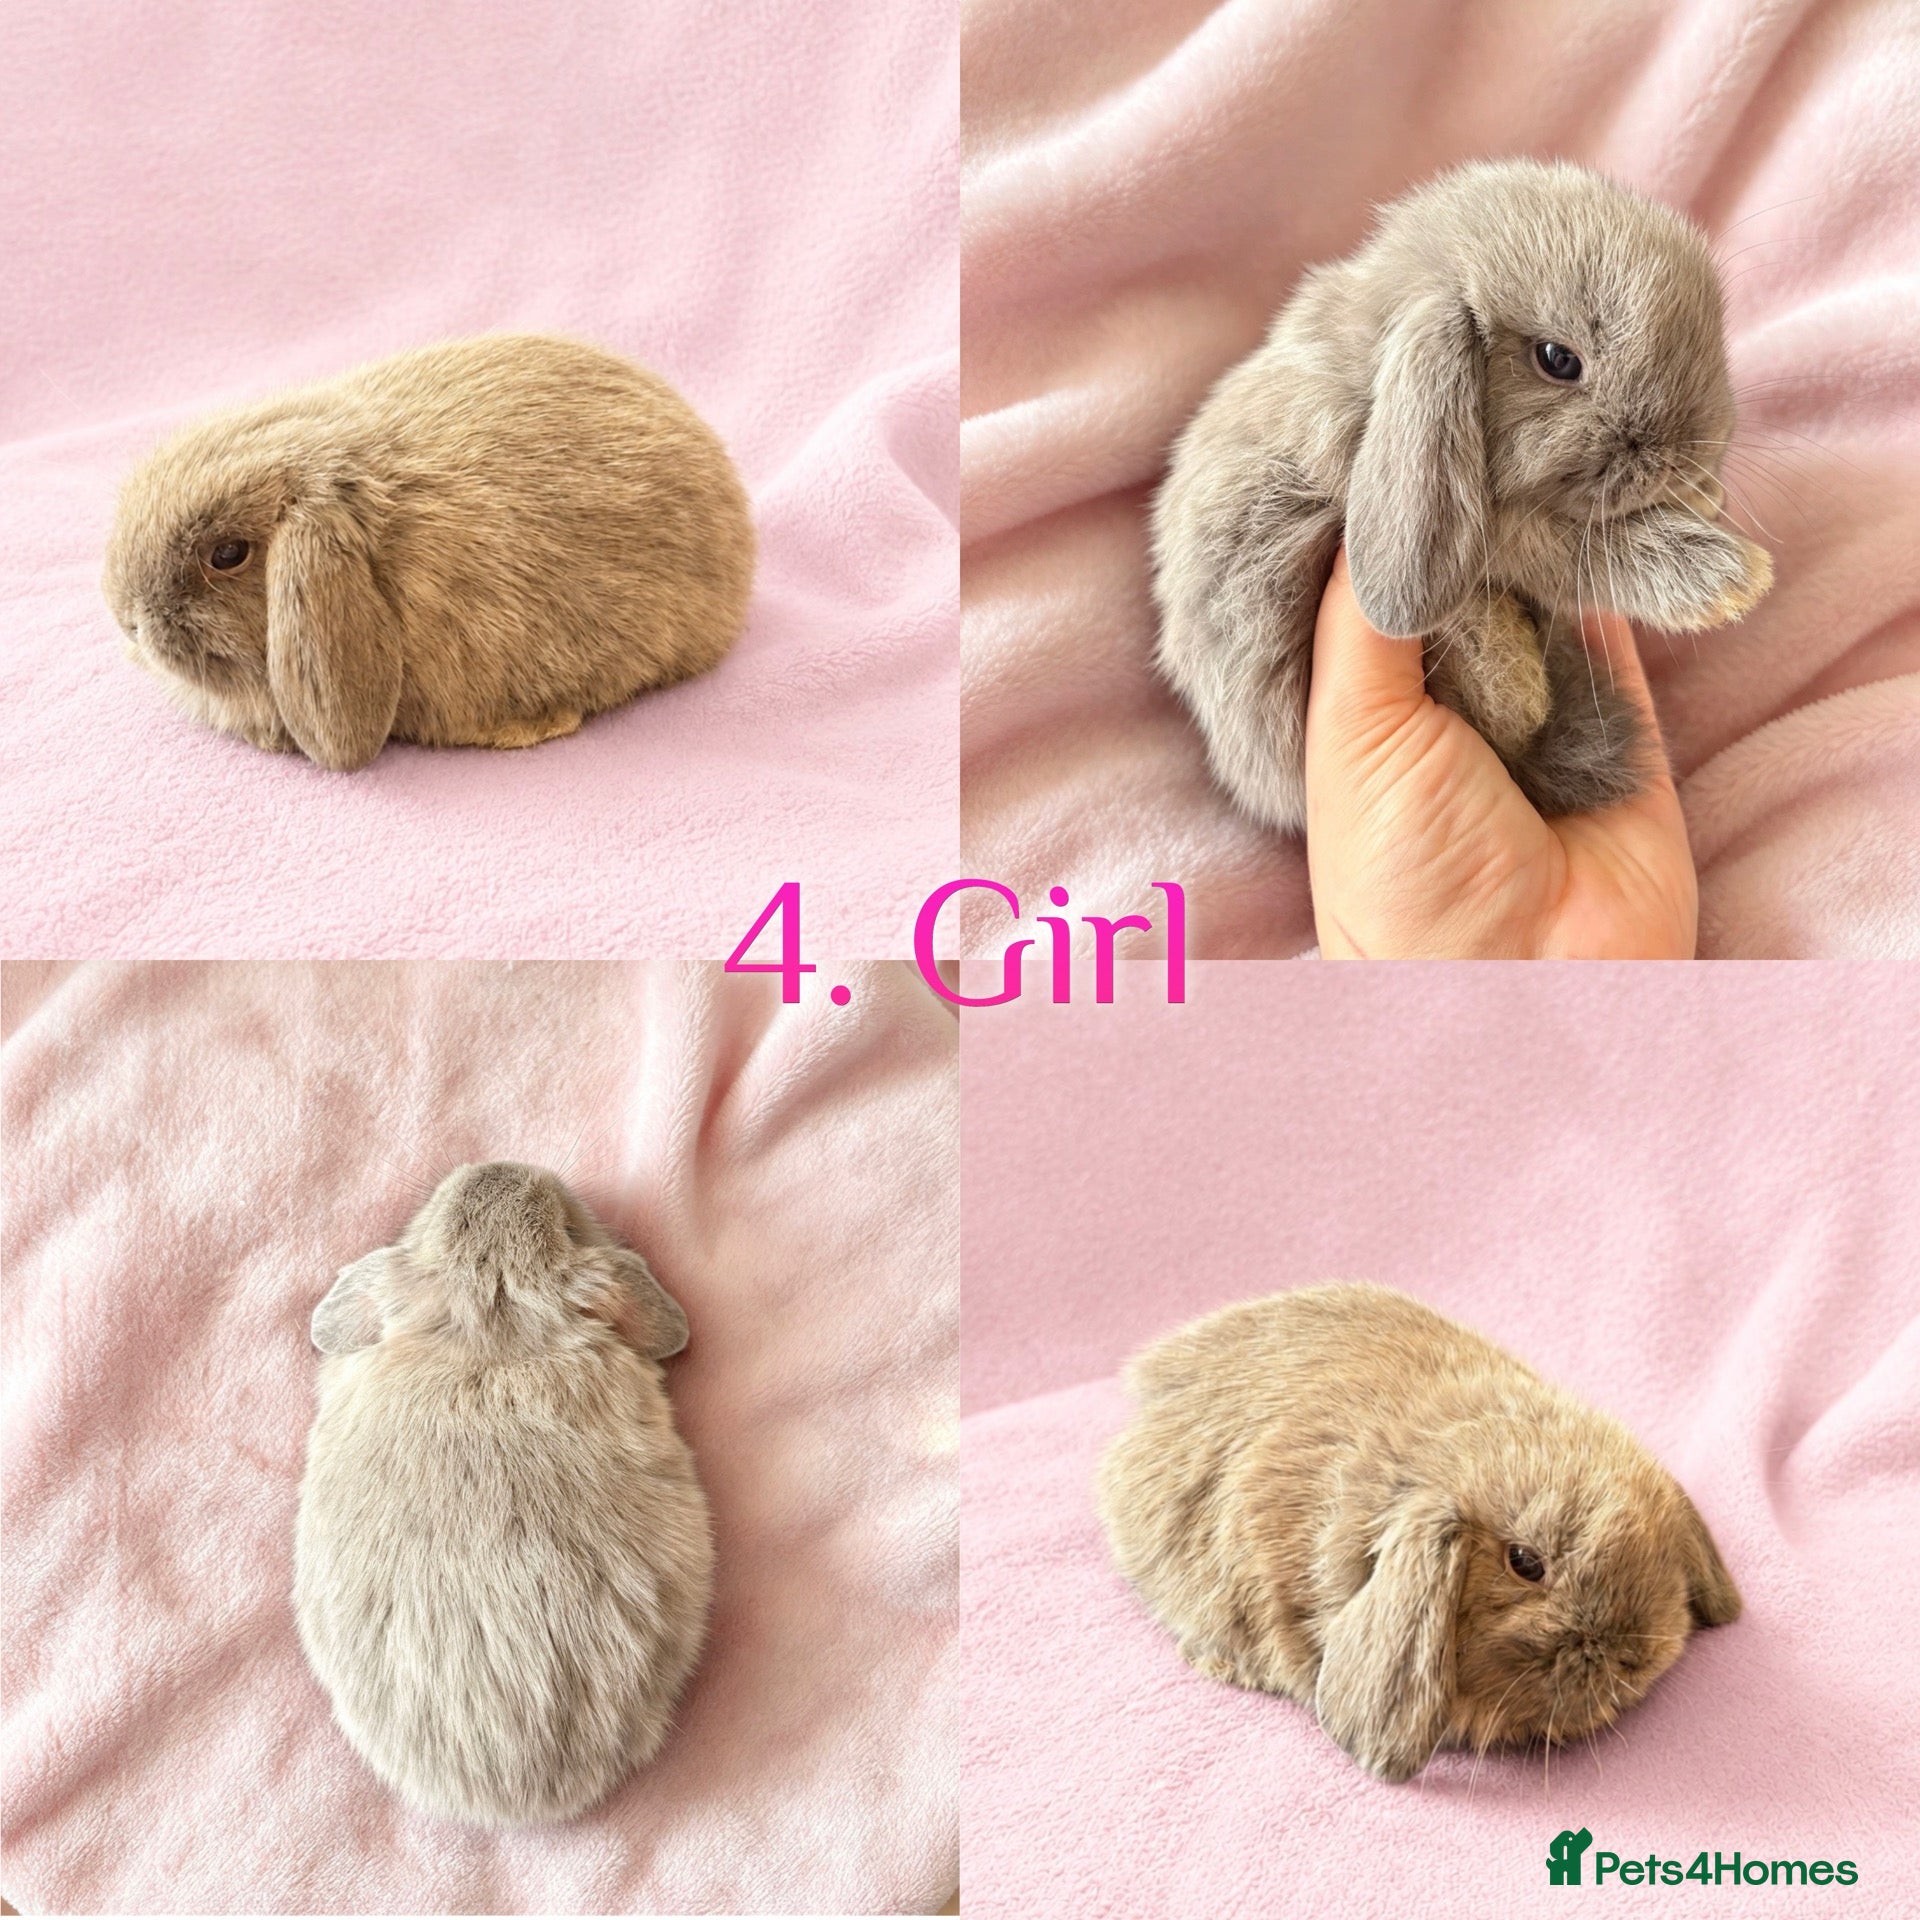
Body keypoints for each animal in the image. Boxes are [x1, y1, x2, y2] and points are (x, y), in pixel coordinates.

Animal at [1151, 158, 1772, 829]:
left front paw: (1707, 499)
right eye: (1557, 359)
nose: (1692, 456)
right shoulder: (1502, 536)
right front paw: (1733, 581)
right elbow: (1577, 553)